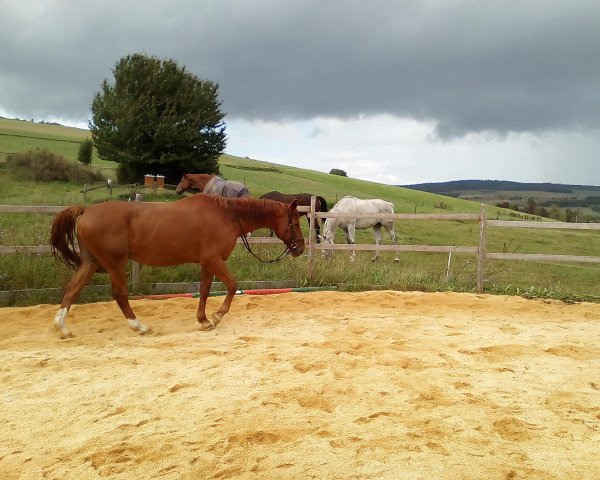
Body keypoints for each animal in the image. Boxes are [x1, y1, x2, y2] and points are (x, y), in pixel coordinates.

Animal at [49, 194, 304, 338]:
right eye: (296, 222)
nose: (300, 248)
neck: (227, 216)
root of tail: (87, 210)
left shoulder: (206, 263)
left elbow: (204, 290)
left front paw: (203, 320)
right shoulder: (214, 260)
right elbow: (232, 285)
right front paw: (217, 316)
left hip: (91, 262)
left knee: (73, 289)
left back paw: (62, 327)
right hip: (115, 263)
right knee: (120, 294)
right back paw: (139, 327)